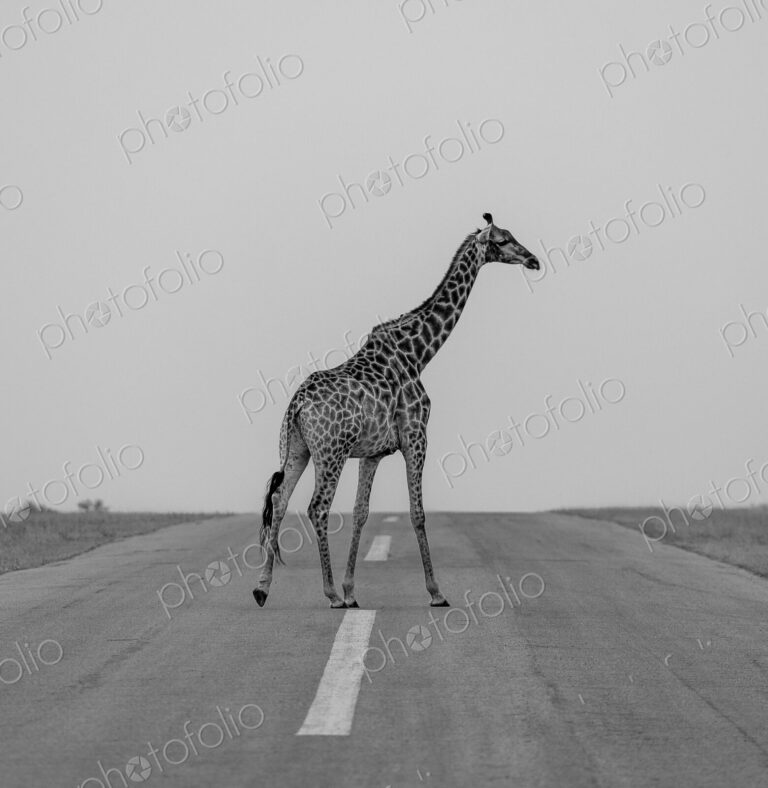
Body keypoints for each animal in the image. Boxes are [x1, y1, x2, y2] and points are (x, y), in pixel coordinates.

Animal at [252, 213, 539, 608]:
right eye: (504, 239)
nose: (533, 260)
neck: (418, 354)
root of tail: (297, 405)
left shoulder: (372, 453)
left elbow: (361, 512)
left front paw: (353, 591)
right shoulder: (416, 436)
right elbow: (417, 513)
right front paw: (436, 592)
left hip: (296, 448)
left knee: (279, 501)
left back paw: (263, 589)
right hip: (330, 452)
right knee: (316, 506)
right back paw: (328, 593)